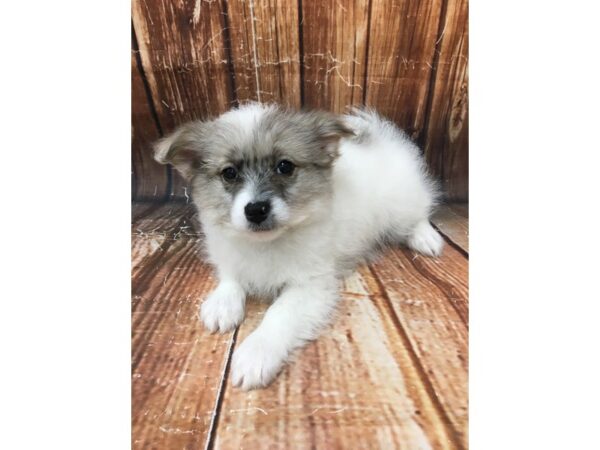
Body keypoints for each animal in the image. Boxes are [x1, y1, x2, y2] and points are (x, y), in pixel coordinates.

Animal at [155, 103, 442, 390]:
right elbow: (231, 277)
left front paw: (256, 353)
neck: (266, 244)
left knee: (418, 216)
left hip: (402, 205)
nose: (256, 209)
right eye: (229, 173)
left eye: (285, 166)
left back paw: (426, 238)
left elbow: (279, 313)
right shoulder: (230, 255)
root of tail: (382, 139)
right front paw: (222, 303)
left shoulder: (310, 285)